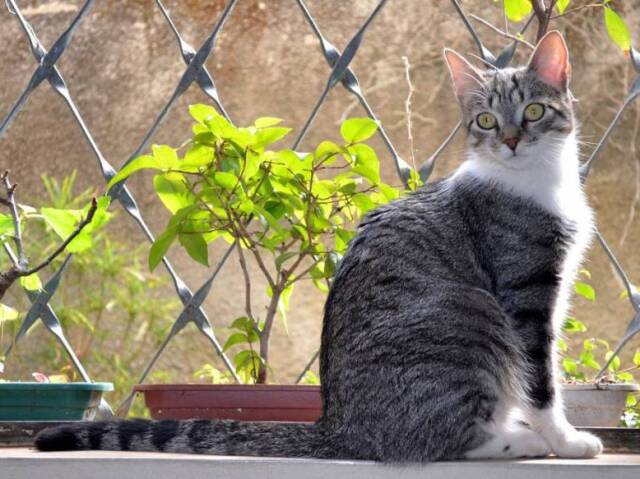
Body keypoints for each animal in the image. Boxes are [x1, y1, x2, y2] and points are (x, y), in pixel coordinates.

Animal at [35, 31, 604, 464]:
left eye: (534, 110)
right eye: (485, 120)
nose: (510, 139)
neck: (535, 180)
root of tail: (340, 427)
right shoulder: (525, 291)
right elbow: (541, 378)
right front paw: (566, 440)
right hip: (471, 317)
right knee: (441, 439)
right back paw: (518, 440)